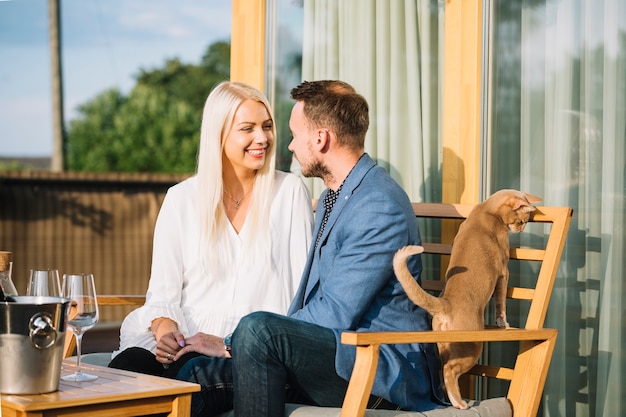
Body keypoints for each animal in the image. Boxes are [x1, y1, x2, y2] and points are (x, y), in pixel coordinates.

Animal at [392, 189, 540, 410]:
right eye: (521, 221)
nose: (520, 229)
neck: (486, 210)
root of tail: (446, 303)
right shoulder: (503, 273)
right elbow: (501, 304)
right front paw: (502, 323)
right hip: (471, 348)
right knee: (450, 371)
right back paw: (460, 403)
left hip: (445, 348)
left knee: (441, 371)